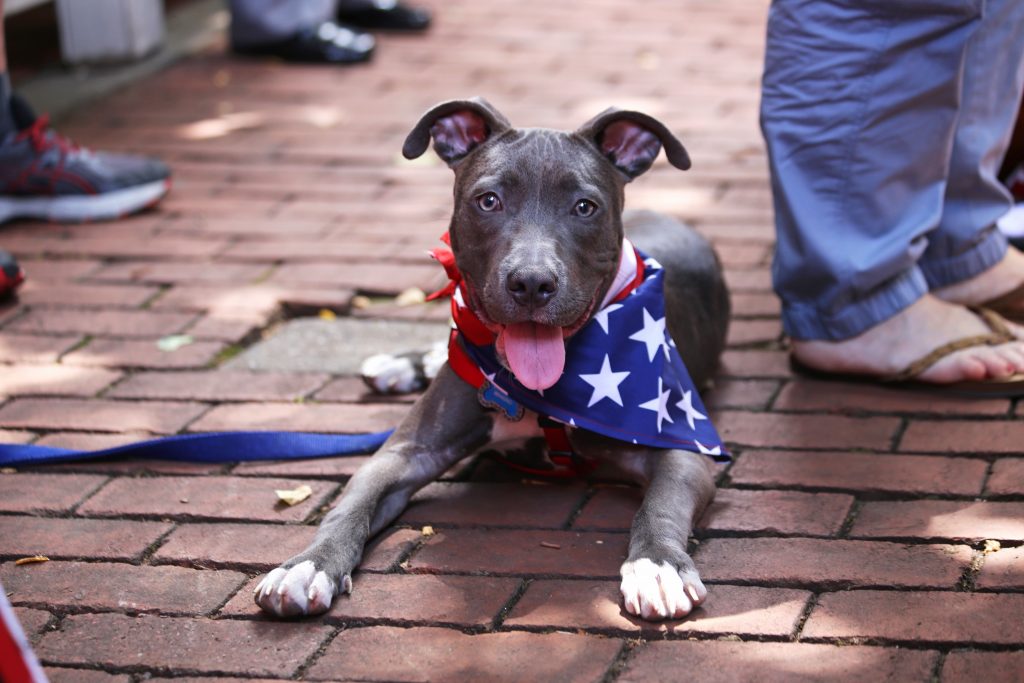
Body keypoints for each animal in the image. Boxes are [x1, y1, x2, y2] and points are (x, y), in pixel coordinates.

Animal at [252, 97, 729, 626]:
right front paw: (307, 565)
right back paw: (400, 364)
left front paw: (657, 567)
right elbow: (349, 505)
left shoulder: (681, 444)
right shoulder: (405, 452)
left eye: (585, 207)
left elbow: (658, 507)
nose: (532, 282)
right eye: (488, 201)